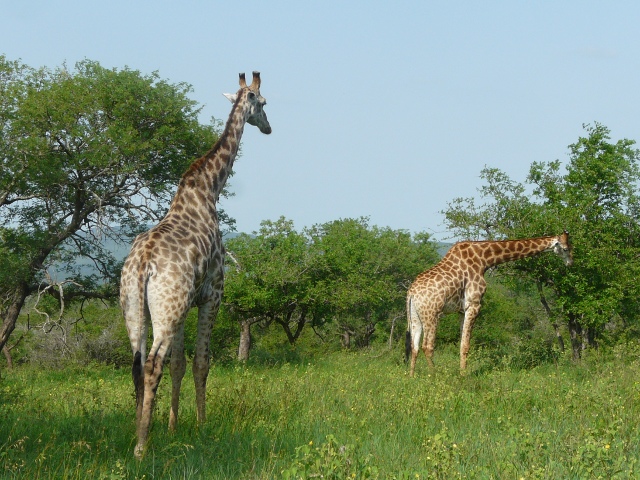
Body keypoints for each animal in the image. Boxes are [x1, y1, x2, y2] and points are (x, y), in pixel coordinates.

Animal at [120, 71, 272, 458]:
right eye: (263, 103)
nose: (268, 128)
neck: (208, 188)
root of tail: (143, 264)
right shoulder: (212, 294)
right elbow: (201, 363)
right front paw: (203, 427)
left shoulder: (185, 306)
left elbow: (179, 365)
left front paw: (173, 427)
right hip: (167, 306)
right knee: (152, 365)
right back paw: (141, 446)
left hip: (137, 307)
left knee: (137, 364)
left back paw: (138, 431)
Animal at [404, 232, 568, 376]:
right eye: (566, 248)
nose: (570, 262)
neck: (484, 259)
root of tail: (411, 293)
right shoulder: (474, 304)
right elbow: (466, 345)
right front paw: (464, 376)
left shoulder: (461, 310)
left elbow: (461, 343)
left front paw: (461, 372)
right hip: (432, 314)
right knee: (427, 346)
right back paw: (435, 376)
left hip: (415, 316)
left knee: (414, 346)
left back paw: (411, 377)